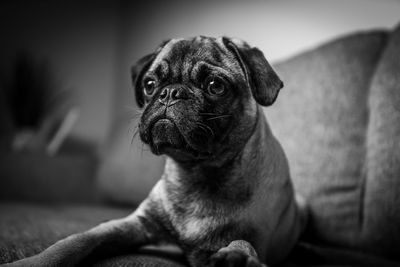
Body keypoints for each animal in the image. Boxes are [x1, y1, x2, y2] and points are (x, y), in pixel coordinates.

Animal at [3, 36, 308, 267]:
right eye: (150, 85)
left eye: (215, 86)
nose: (171, 93)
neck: (197, 172)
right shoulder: (136, 224)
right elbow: (77, 240)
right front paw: (32, 262)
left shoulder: (255, 238)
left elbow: (243, 242)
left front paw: (237, 257)